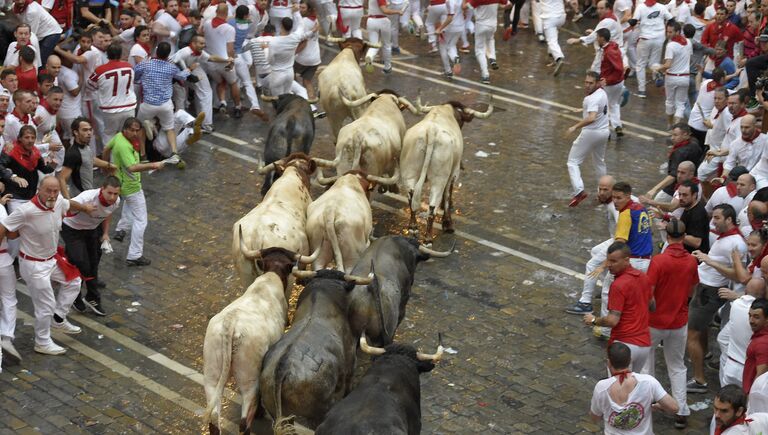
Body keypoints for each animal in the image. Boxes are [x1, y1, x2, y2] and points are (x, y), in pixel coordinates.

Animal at [402, 98, 492, 245]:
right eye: (461, 119)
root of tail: (431, 132)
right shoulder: (453, 173)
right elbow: (448, 194)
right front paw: (447, 222)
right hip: (439, 179)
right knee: (432, 205)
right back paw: (428, 238)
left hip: (409, 173)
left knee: (411, 197)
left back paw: (413, 227)